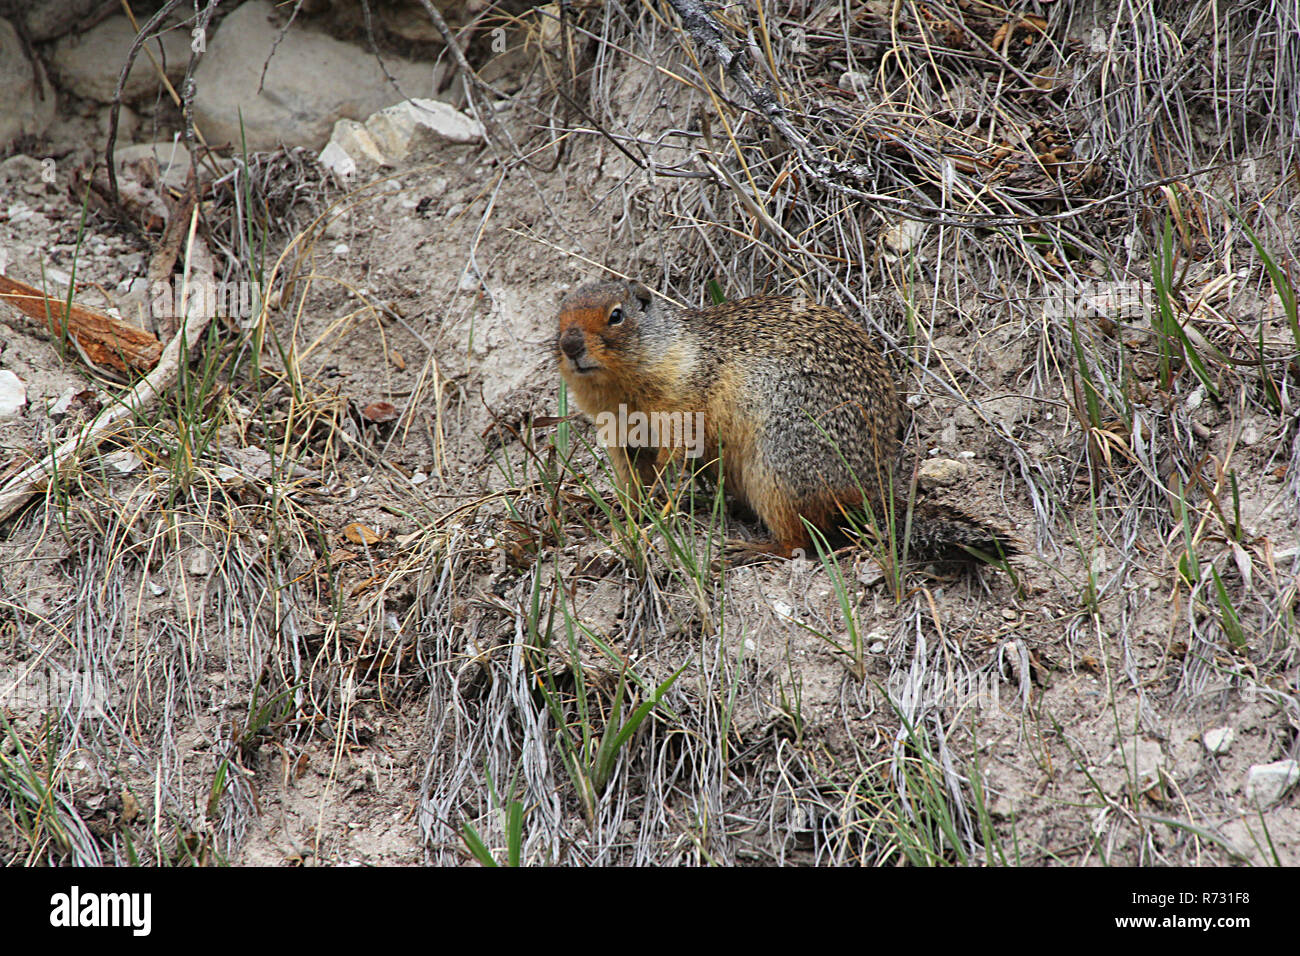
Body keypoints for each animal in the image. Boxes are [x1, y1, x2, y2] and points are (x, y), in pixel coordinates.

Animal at [555, 280, 1014, 561]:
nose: (569, 343)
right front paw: (622, 515)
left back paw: (750, 550)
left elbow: (673, 464)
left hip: (777, 467)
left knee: (801, 542)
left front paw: (656, 513)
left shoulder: (680, 410)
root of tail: (868, 490)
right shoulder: (619, 438)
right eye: (559, 315)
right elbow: (632, 482)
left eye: (616, 315)